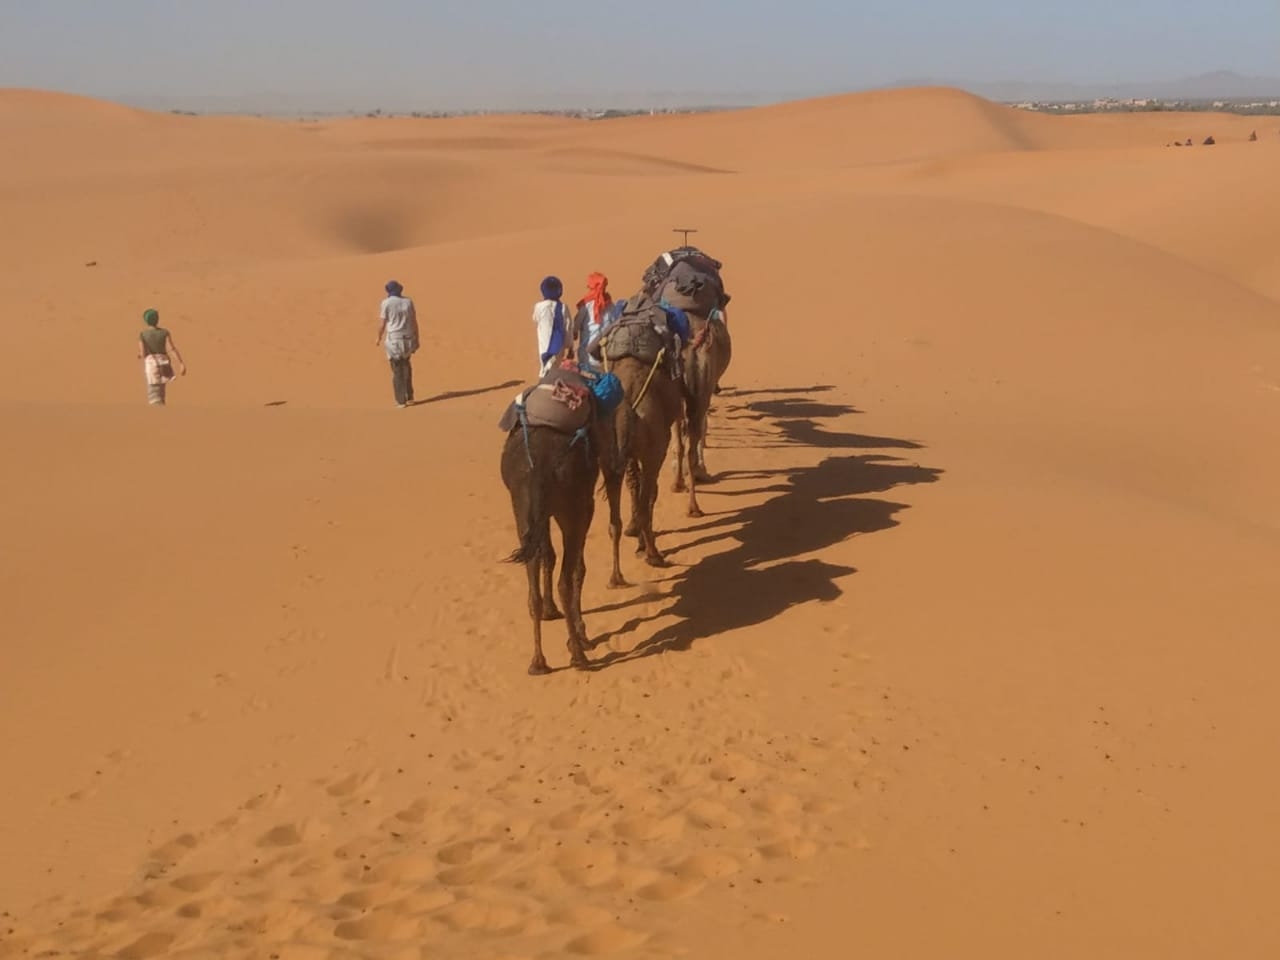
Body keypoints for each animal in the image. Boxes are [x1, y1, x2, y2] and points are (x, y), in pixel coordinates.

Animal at [499, 417, 604, 670]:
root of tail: (538, 470)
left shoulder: (541, 515)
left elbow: (547, 555)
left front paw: (549, 611)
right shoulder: (586, 504)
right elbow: (578, 568)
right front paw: (582, 635)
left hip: (522, 506)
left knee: (533, 578)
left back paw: (538, 662)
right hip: (571, 508)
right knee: (565, 580)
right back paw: (578, 655)